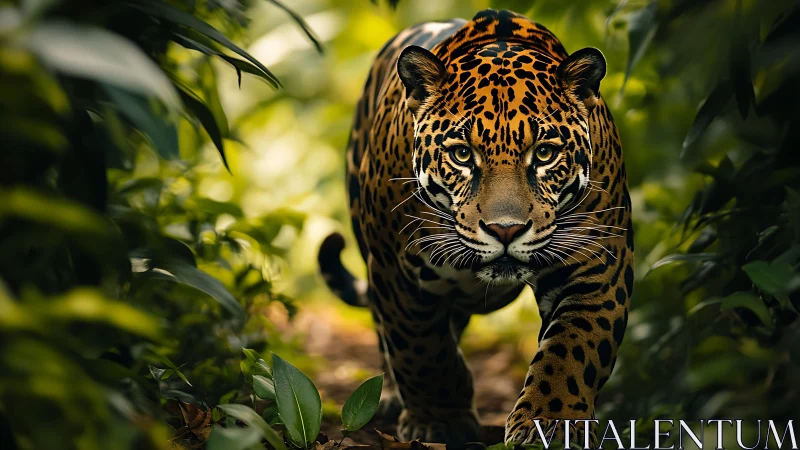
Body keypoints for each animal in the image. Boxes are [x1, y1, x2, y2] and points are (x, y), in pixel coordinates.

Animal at [318, 9, 634, 447]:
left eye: (545, 154)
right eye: (462, 155)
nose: (505, 230)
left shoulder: (597, 262)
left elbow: (573, 348)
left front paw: (551, 424)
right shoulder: (397, 271)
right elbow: (420, 350)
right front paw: (440, 419)